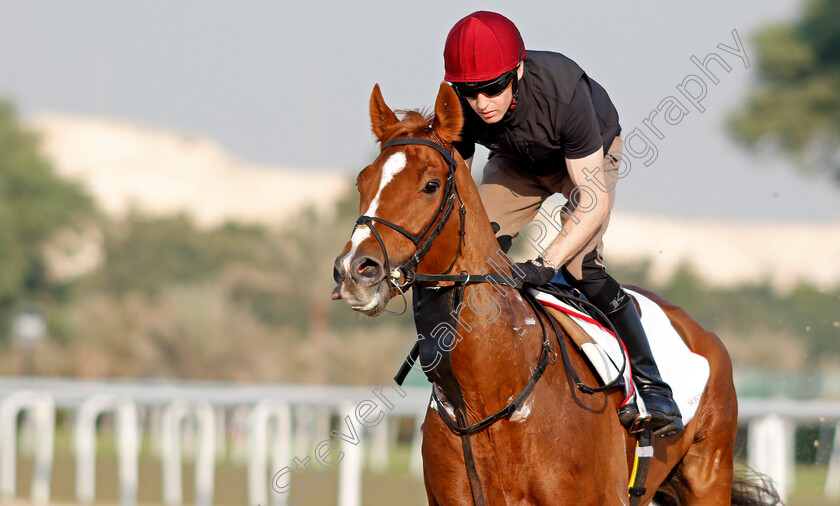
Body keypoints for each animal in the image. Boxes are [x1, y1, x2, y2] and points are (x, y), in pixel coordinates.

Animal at [330, 81, 776, 504]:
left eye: (431, 185)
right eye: (362, 180)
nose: (354, 269)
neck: (490, 395)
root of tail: (702, 332)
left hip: (709, 474)